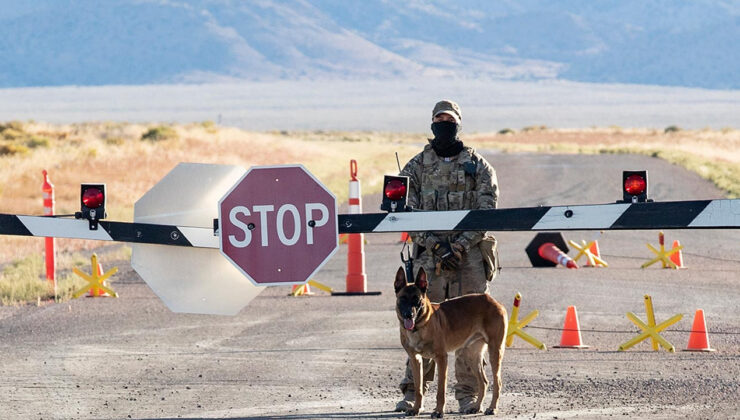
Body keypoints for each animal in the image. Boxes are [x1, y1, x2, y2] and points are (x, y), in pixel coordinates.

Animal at [396, 266, 506, 416]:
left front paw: (438, 411)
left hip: (495, 352)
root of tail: (494, 301)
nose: (409, 315)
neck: (419, 327)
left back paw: (492, 408)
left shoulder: (442, 358)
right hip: (472, 355)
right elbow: (418, 388)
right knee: (483, 382)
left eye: (417, 300)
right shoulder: (415, 359)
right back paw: (476, 406)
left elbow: (441, 390)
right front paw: (416, 409)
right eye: (403, 299)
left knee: (497, 382)